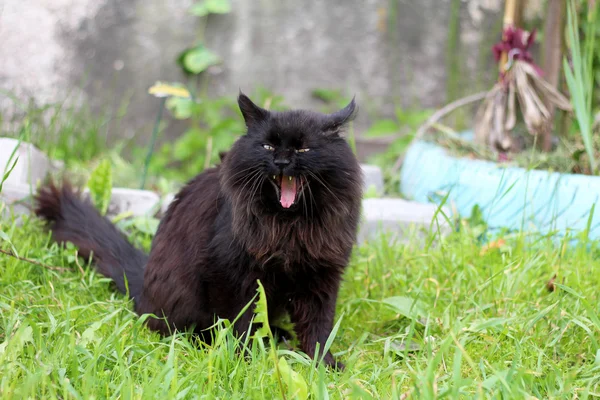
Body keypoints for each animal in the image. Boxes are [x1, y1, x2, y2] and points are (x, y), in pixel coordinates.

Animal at [35, 92, 364, 370]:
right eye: (268, 146)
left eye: (304, 148)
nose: (281, 161)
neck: (288, 226)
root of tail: (142, 290)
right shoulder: (231, 275)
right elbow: (240, 323)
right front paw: (244, 361)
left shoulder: (322, 277)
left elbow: (318, 329)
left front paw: (324, 366)